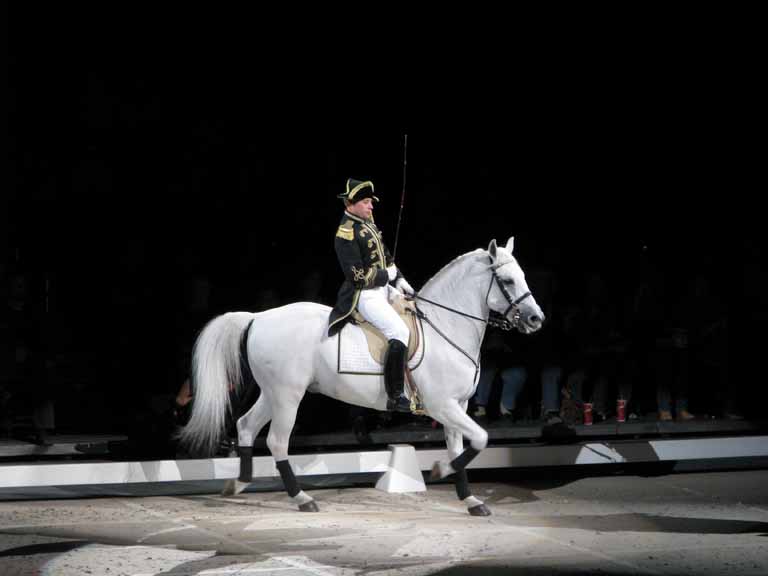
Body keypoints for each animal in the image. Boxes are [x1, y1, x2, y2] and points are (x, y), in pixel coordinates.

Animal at [178, 236, 544, 516]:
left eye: (524, 276)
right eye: (507, 281)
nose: (536, 319)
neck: (445, 328)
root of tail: (258, 317)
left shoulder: (459, 407)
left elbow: (462, 450)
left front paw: (470, 500)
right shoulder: (443, 406)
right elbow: (481, 439)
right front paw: (441, 469)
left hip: (272, 393)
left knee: (245, 427)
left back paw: (238, 484)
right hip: (287, 396)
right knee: (276, 441)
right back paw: (302, 498)